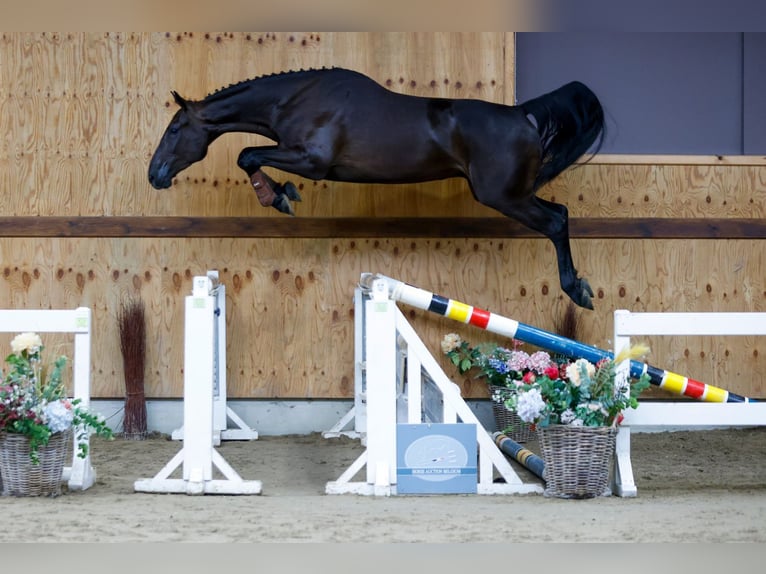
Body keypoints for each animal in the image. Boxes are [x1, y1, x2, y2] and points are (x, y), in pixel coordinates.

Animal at [150, 66, 608, 310]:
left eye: (174, 129)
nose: (155, 175)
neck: (296, 100)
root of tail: (523, 116)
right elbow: (250, 156)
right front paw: (281, 195)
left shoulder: (312, 161)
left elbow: (247, 155)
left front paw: (279, 196)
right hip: (514, 194)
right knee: (561, 213)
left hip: (502, 196)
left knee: (555, 222)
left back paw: (578, 291)